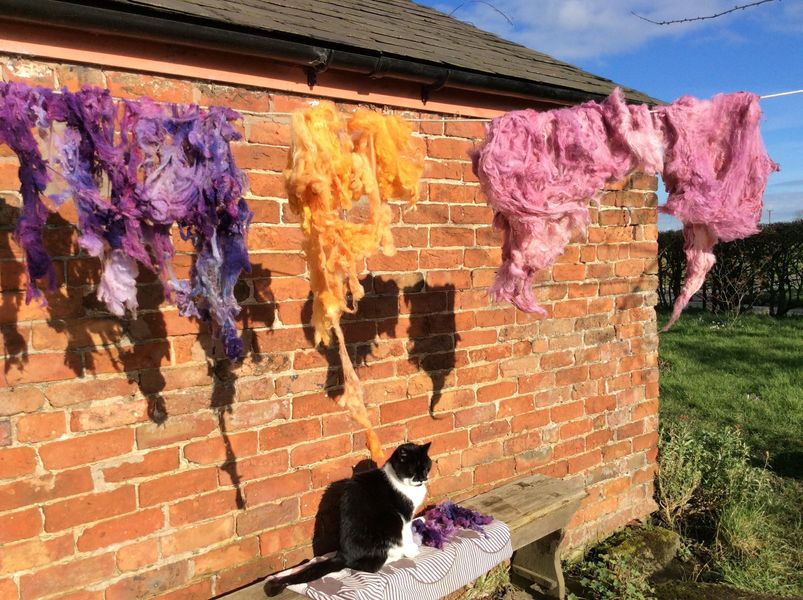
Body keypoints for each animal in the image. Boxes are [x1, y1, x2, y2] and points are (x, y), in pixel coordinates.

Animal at [266, 440, 434, 592]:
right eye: (413, 470)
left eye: (426, 467)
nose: (423, 478)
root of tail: (344, 555)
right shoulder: (404, 516)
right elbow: (406, 535)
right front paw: (412, 550)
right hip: (390, 524)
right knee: (368, 566)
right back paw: (394, 556)